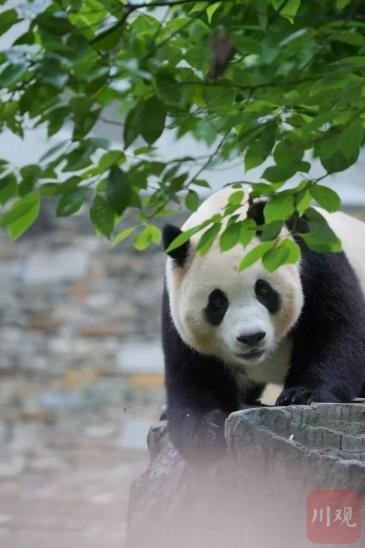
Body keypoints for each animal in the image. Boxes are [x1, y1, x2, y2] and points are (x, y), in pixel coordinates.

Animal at [160, 186, 365, 460]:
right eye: (217, 302)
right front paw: (206, 431)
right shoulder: (174, 302)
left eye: (263, 290)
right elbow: (192, 373)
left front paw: (302, 394)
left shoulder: (312, 252)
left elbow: (335, 326)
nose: (251, 337)